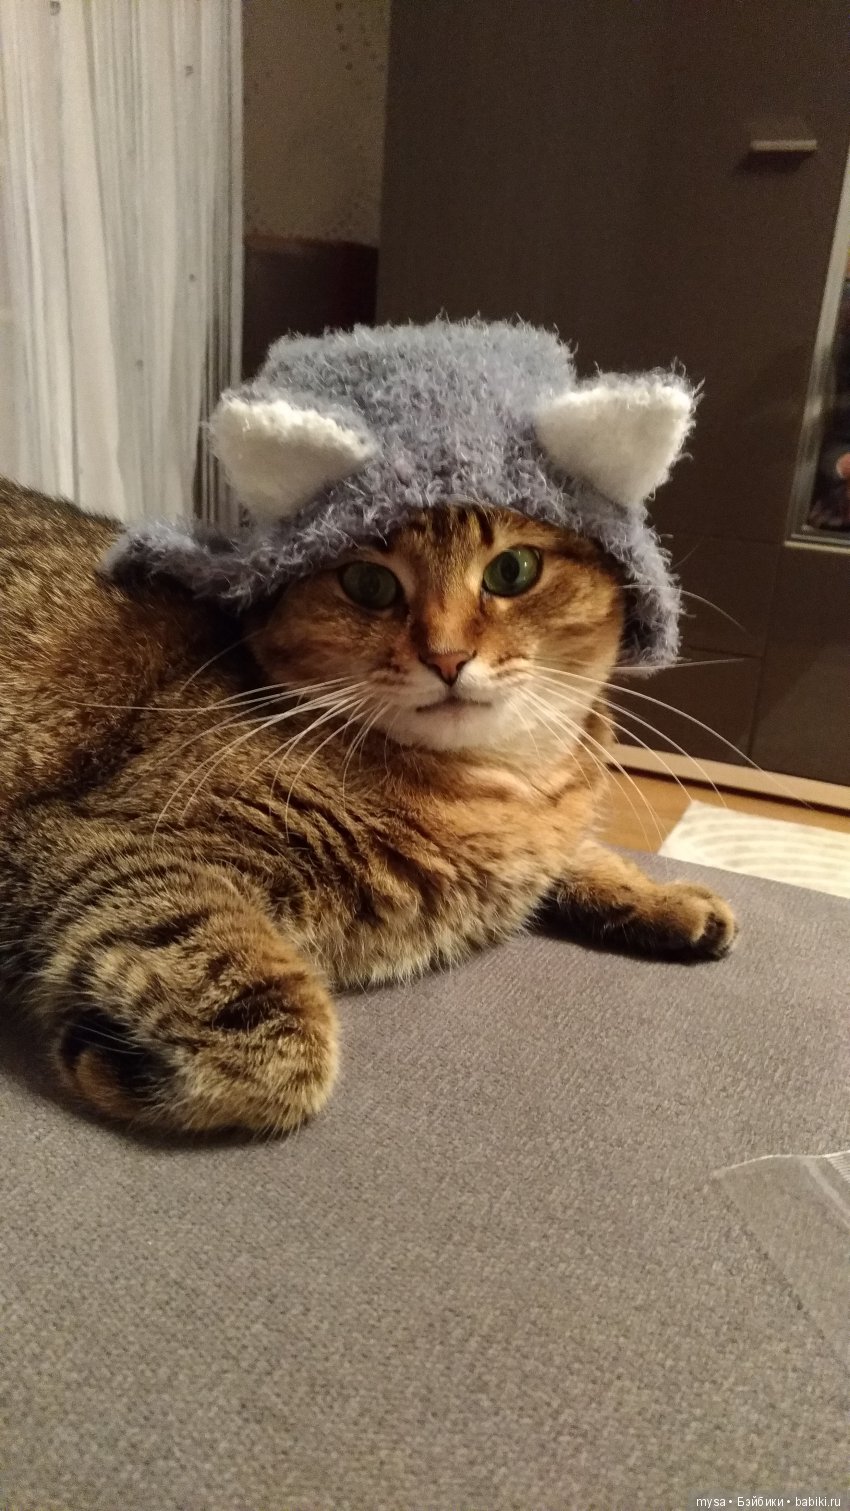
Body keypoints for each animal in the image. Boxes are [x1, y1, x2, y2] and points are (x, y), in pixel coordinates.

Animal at [0, 477, 736, 1134]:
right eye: (368, 584)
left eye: (513, 570)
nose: (448, 657)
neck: (504, 787)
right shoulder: (112, 837)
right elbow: (284, 1032)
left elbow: (583, 856)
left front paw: (663, 897)